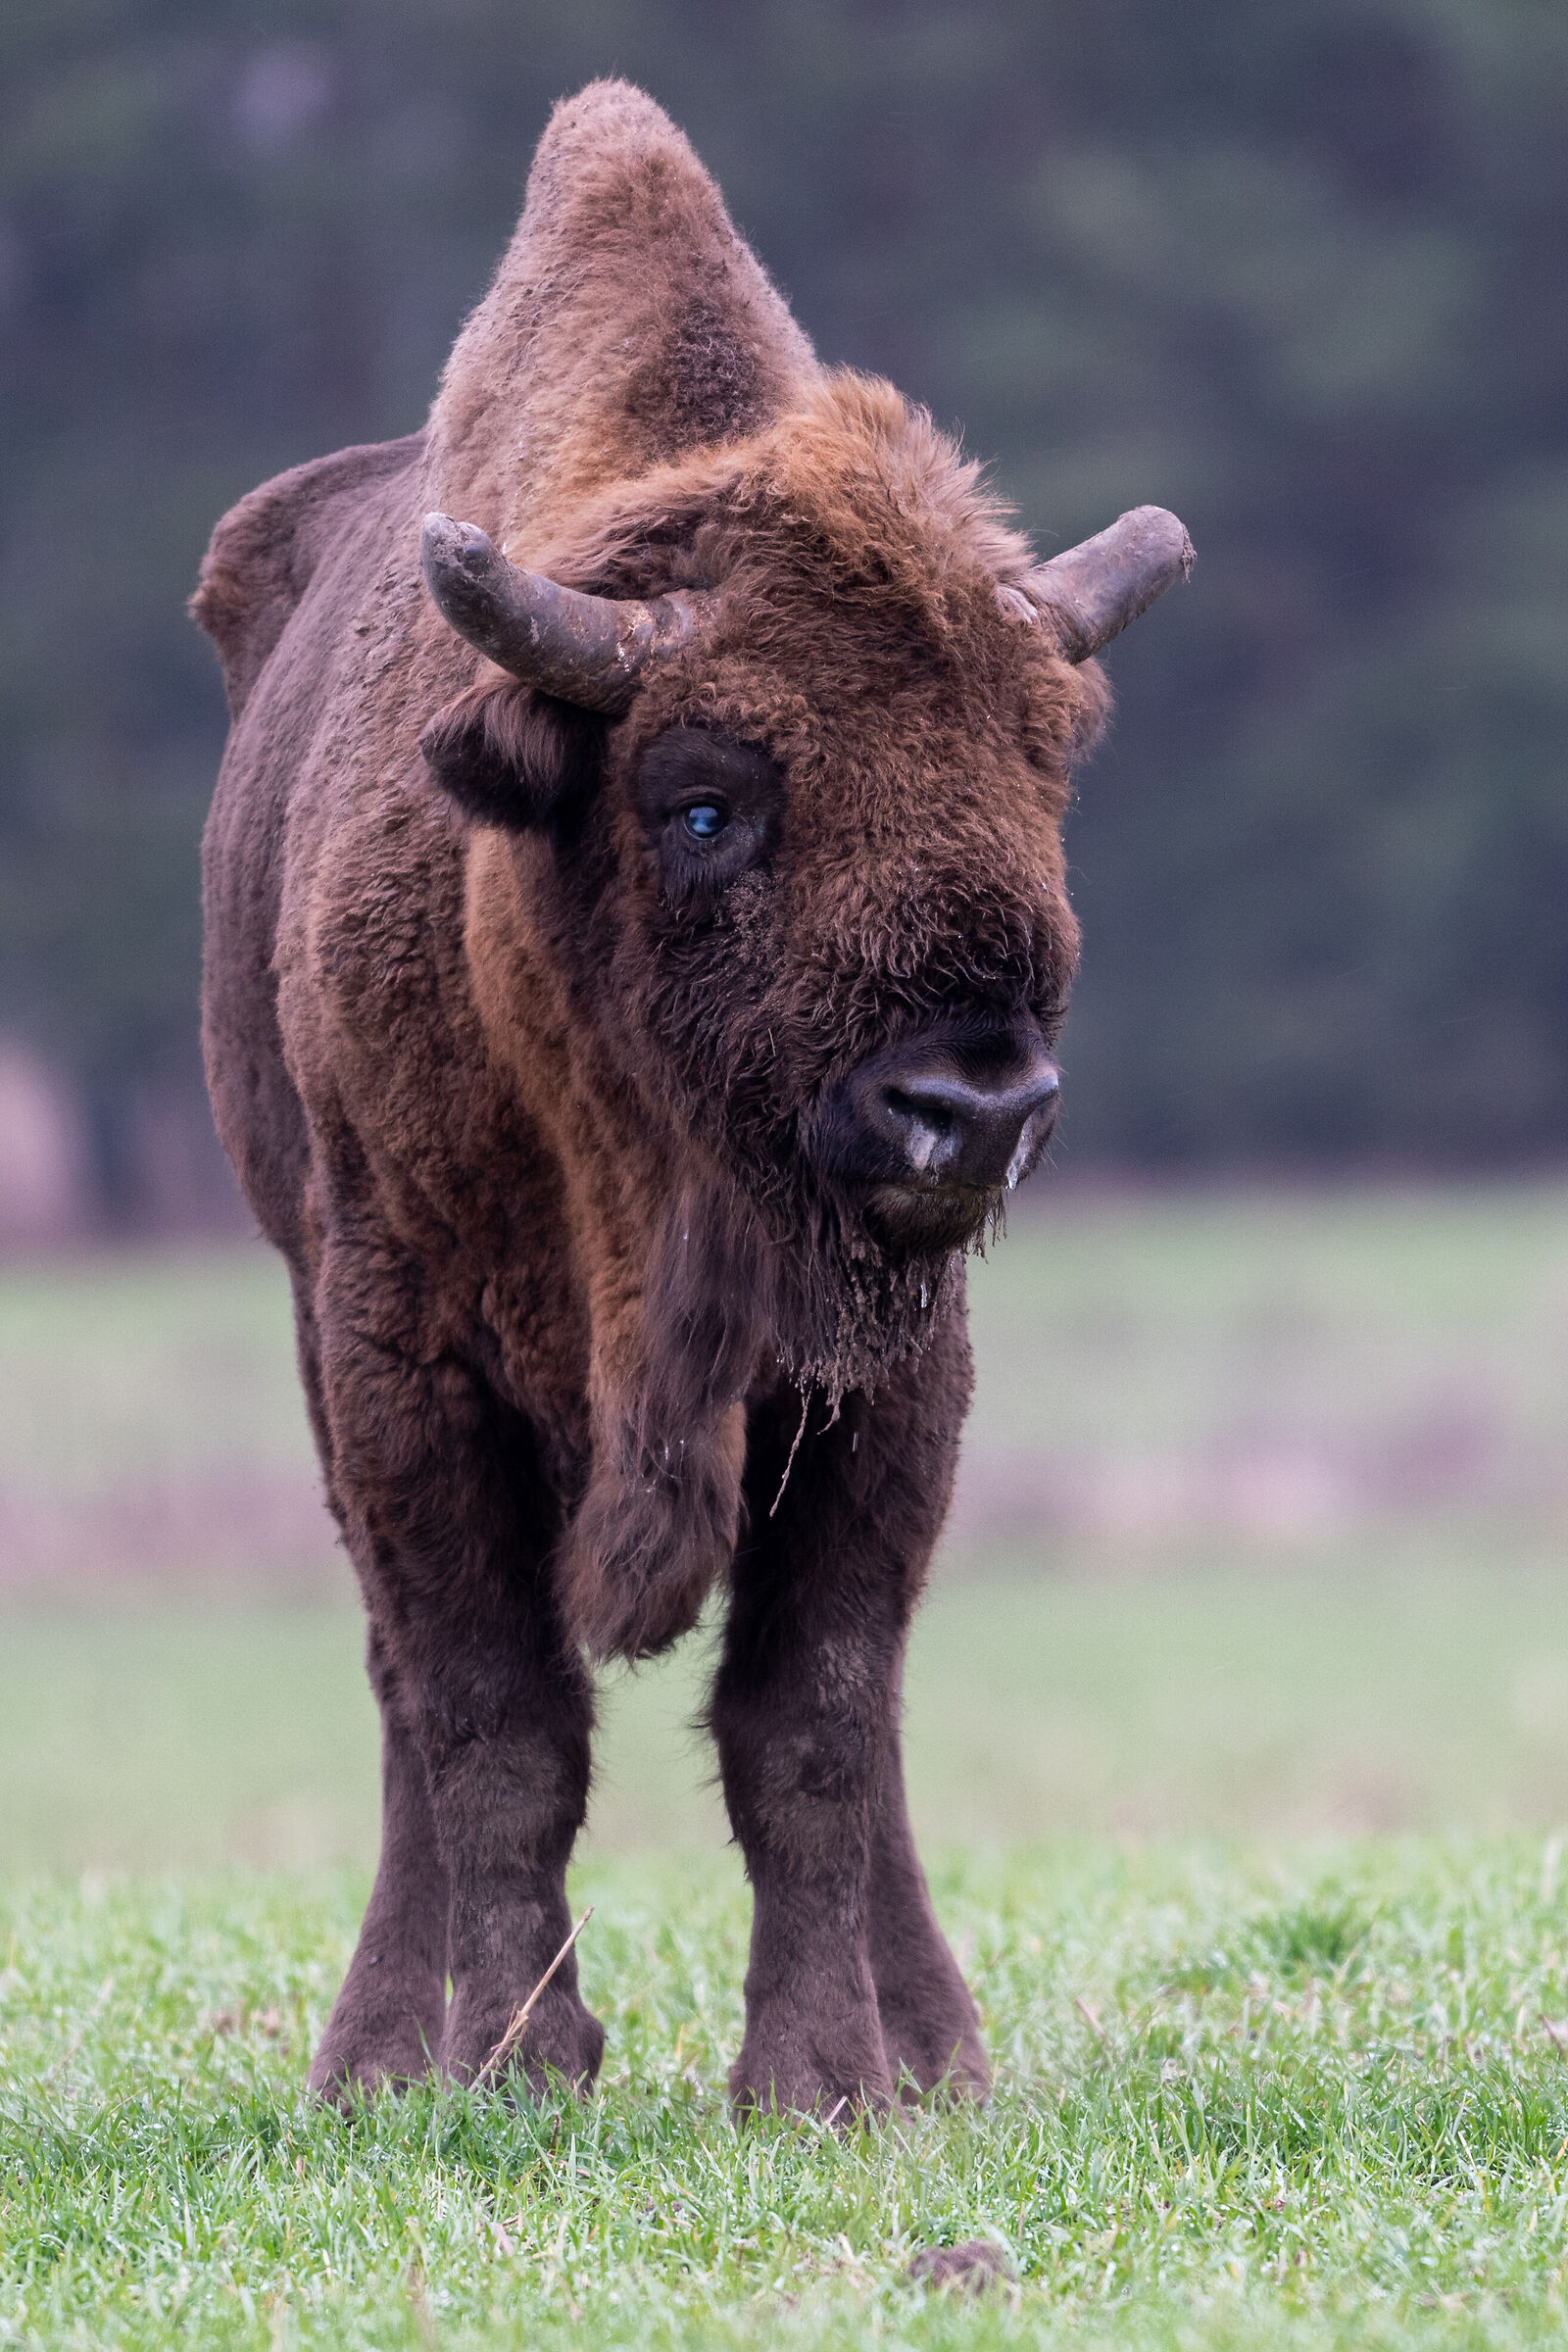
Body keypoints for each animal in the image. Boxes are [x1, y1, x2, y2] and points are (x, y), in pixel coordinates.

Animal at [194, 80, 1189, 2115]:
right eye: (705, 800)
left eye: (1038, 770)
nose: (971, 1111)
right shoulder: (399, 1355)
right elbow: (492, 1716)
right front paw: (511, 2069)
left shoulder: (887, 1380)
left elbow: (813, 1721)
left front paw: (829, 2084)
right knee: (404, 1702)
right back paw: (379, 2056)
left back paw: (938, 2048)